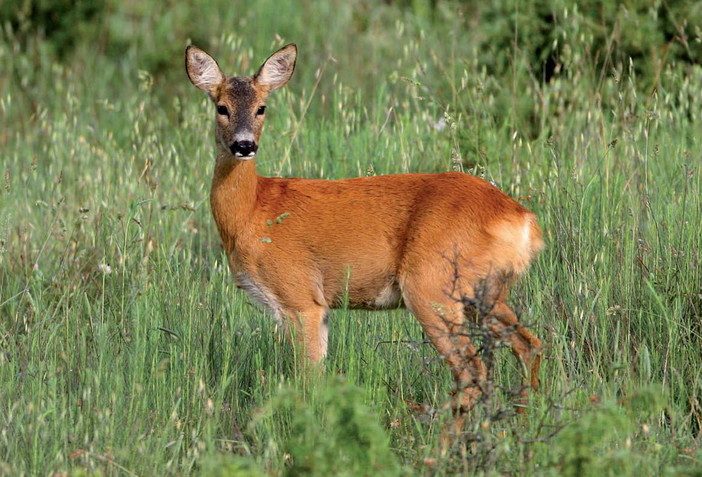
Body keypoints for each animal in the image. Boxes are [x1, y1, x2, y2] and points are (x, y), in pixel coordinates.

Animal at [184, 44, 548, 416]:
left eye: (261, 107)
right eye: (222, 107)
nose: (244, 145)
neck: (253, 212)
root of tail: (522, 219)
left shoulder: (300, 297)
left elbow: (307, 381)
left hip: (432, 285)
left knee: (473, 370)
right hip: (485, 292)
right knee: (529, 344)